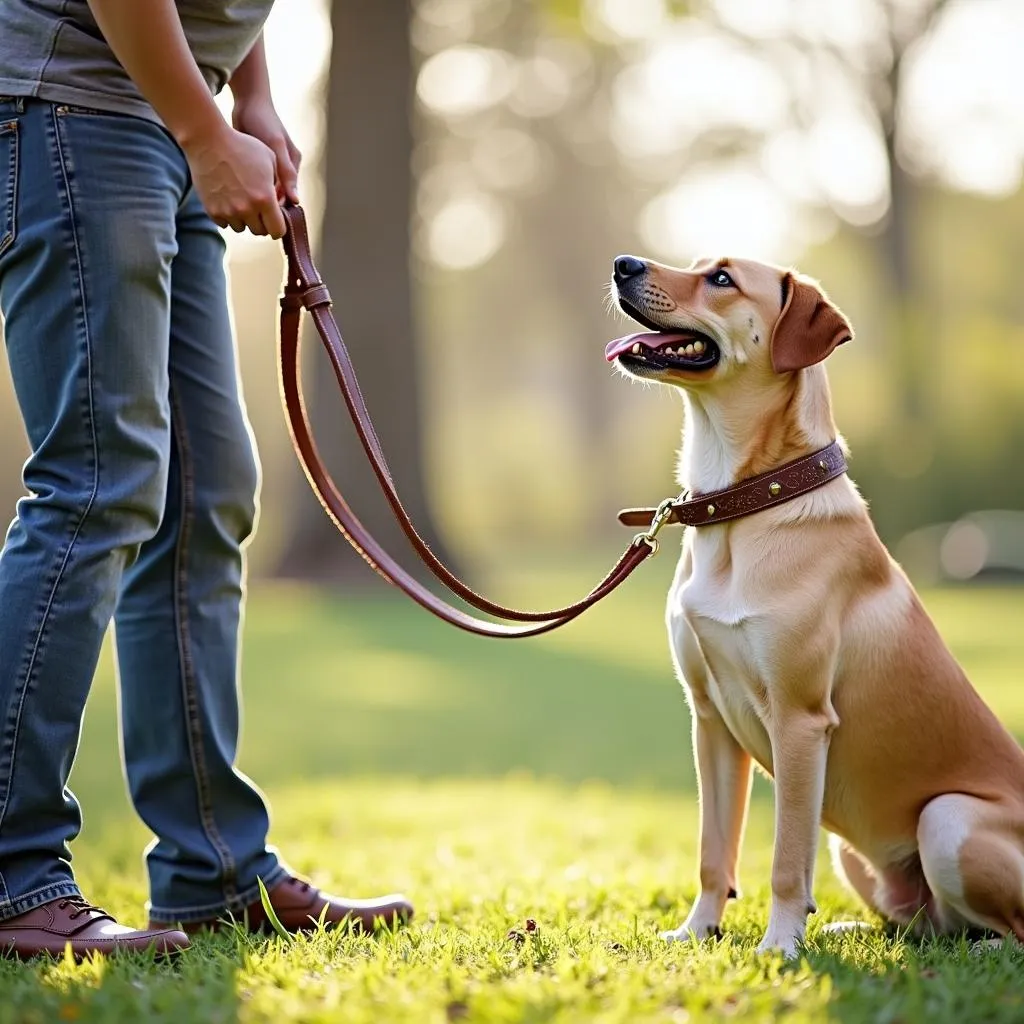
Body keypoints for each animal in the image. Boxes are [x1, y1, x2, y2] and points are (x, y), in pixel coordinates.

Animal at [602, 251, 1024, 954]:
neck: (743, 505)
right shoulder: (709, 721)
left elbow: (782, 858)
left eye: (721, 278)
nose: (622, 263)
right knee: (926, 921)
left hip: (947, 819)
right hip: (855, 853)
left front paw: (779, 947)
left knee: (1001, 927)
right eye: (697, 264)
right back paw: (856, 926)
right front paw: (697, 931)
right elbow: (713, 852)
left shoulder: (800, 723)